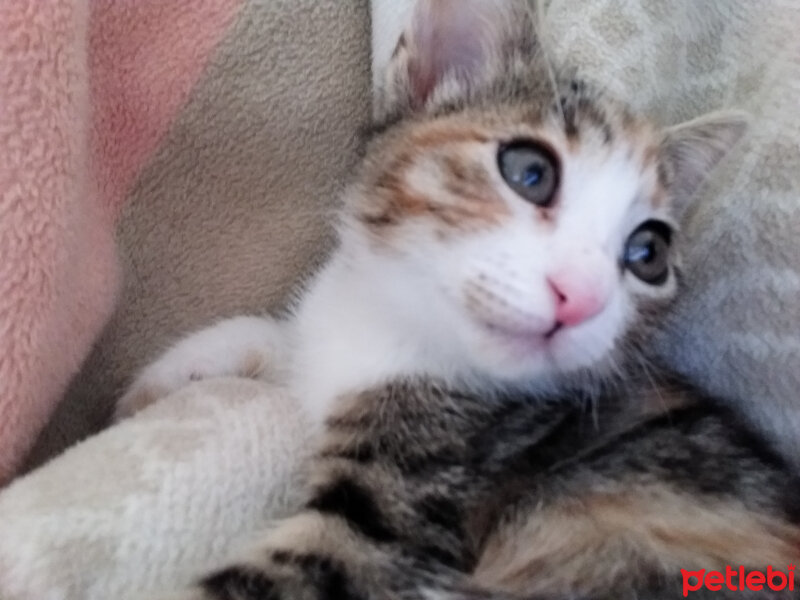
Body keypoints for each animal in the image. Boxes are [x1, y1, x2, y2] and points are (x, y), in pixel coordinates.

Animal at [120, 0, 800, 596]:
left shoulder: (394, 525)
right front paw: (177, 370)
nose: (579, 297)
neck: (398, 332)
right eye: (530, 171)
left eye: (647, 254)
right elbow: (285, 340)